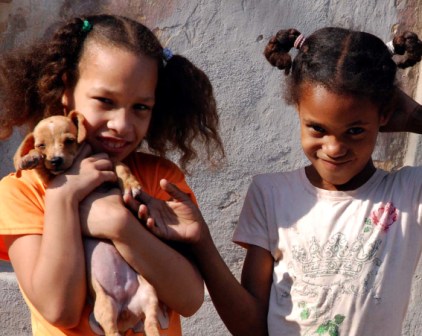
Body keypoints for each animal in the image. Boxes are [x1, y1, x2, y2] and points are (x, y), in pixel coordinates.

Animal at [13, 111, 162, 334]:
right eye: (41, 145)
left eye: (69, 141)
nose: (55, 160)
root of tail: (128, 313)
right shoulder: (52, 181)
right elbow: (42, 169)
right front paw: (31, 157)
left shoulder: (106, 160)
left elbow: (120, 166)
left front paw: (131, 185)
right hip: (105, 307)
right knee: (113, 329)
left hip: (149, 295)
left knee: (151, 324)